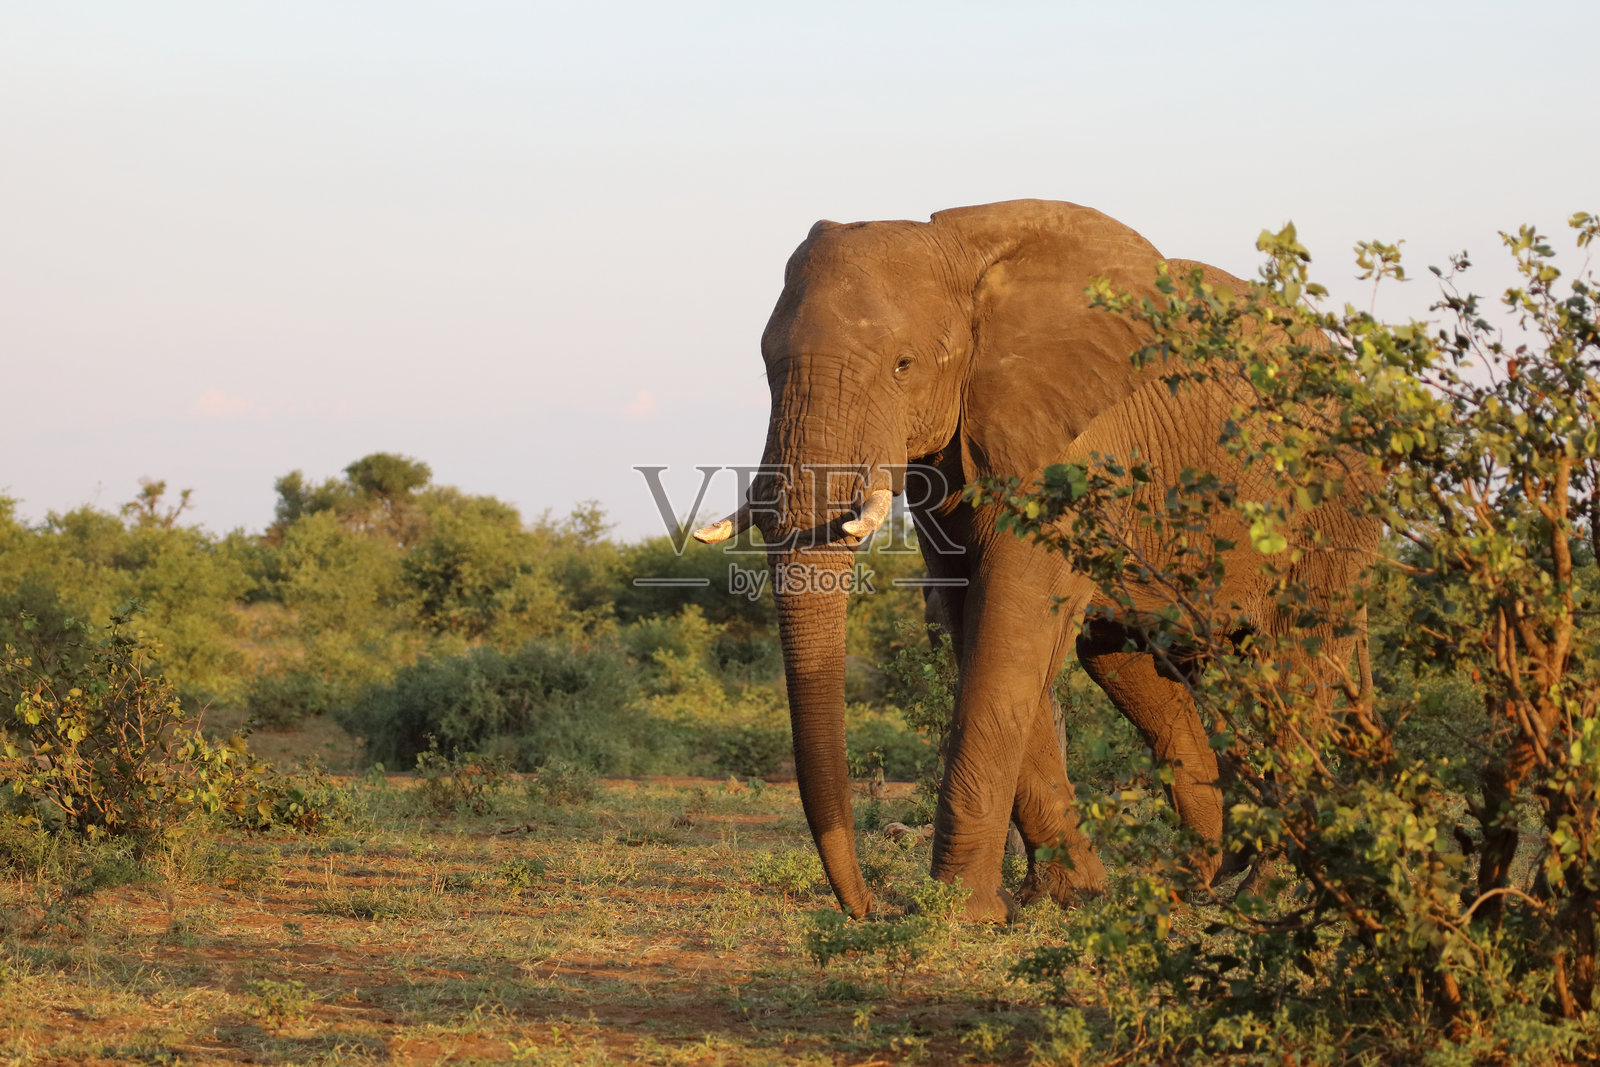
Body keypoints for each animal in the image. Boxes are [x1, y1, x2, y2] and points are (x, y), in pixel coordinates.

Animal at [695, 199, 1376, 921]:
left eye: (904, 365)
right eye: (767, 368)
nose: (870, 907)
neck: (961, 255)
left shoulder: (1077, 447)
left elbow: (1011, 625)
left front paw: (960, 912)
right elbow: (978, 625)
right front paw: (1067, 896)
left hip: (1333, 503)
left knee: (1294, 670)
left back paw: (1261, 890)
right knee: (1130, 666)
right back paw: (1193, 884)